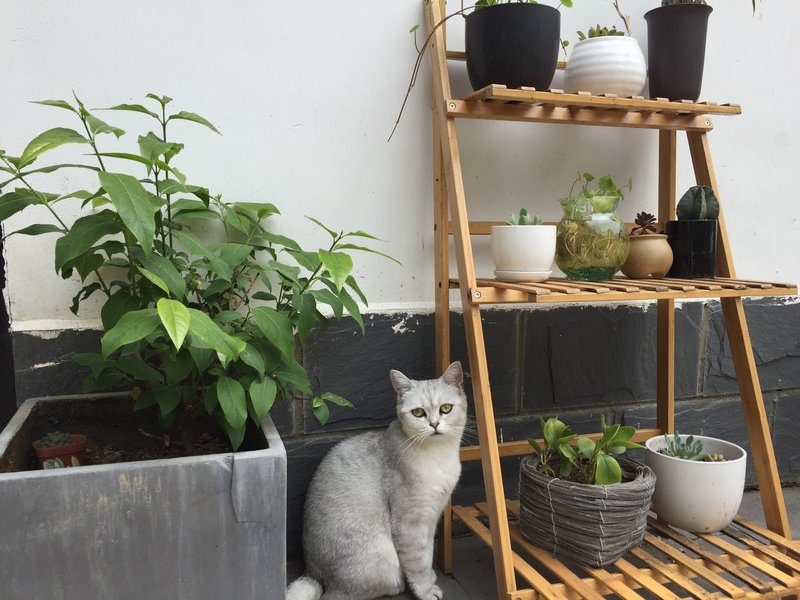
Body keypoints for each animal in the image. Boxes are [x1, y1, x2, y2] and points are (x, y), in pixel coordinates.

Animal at [286, 361, 467, 600]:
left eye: (446, 408)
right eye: (418, 413)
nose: (435, 424)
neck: (439, 455)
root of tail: (314, 574)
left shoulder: (431, 517)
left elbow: (428, 554)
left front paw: (430, 578)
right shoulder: (411, 522)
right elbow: (419, 562)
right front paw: (426, 591)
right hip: (383, 559)